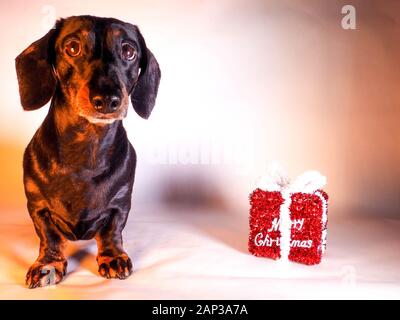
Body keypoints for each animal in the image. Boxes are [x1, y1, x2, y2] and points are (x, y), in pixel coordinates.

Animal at [14, 15, 161, 290]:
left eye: (129, 51)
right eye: (73, 47)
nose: (108, 100)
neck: (86, 146)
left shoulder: (120, 203)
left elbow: (112, 231)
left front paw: (113, 257)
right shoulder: (37, 206)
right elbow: (49, 236)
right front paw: (48, 264)